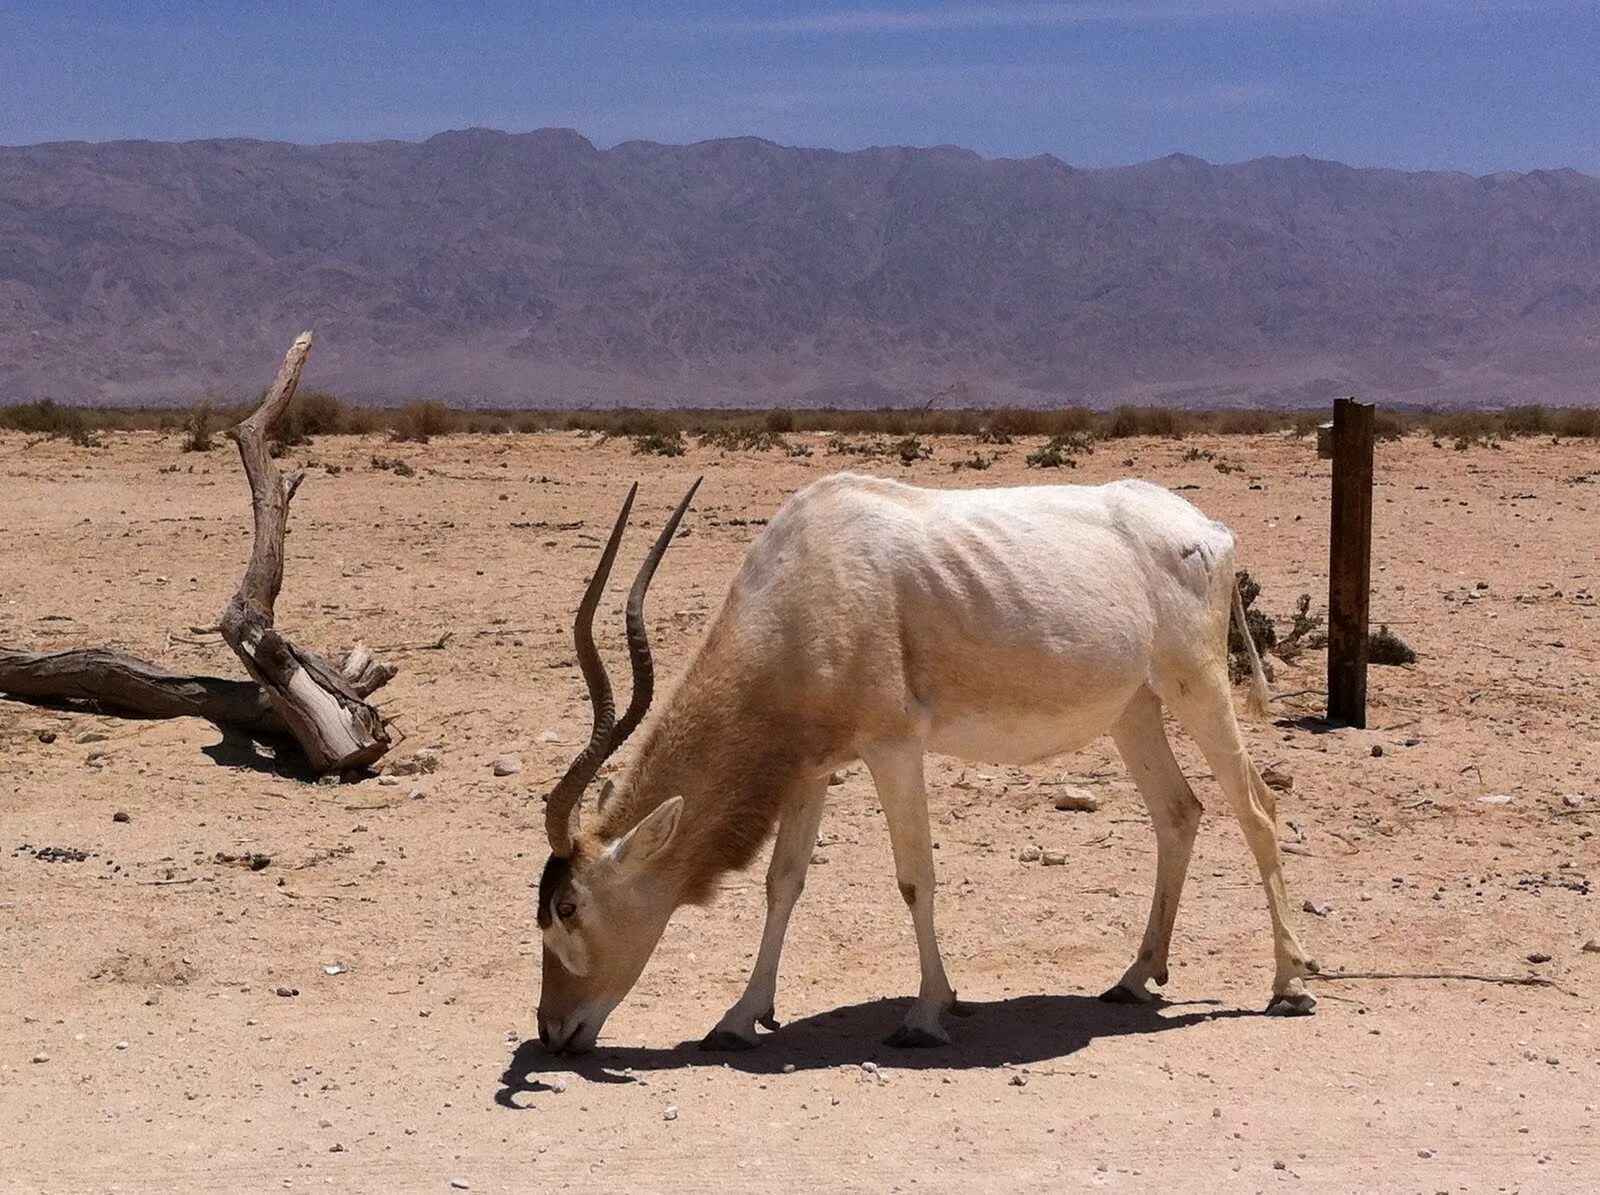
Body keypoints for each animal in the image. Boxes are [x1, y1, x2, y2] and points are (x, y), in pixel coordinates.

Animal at [531, 473, 1318, 1049]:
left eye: (568, 906)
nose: (553, 1031)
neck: (807, 580)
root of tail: (1208, 531)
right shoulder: (812, 767)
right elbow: (783, 884)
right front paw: (739, 1016)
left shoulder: (894, 747)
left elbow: (916, 877)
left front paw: (925, 1015)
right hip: (1135, 708)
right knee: (1179, 812)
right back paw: (1134, 977)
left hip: (1196, 684)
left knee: (1257, 809)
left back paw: (1291, 985)